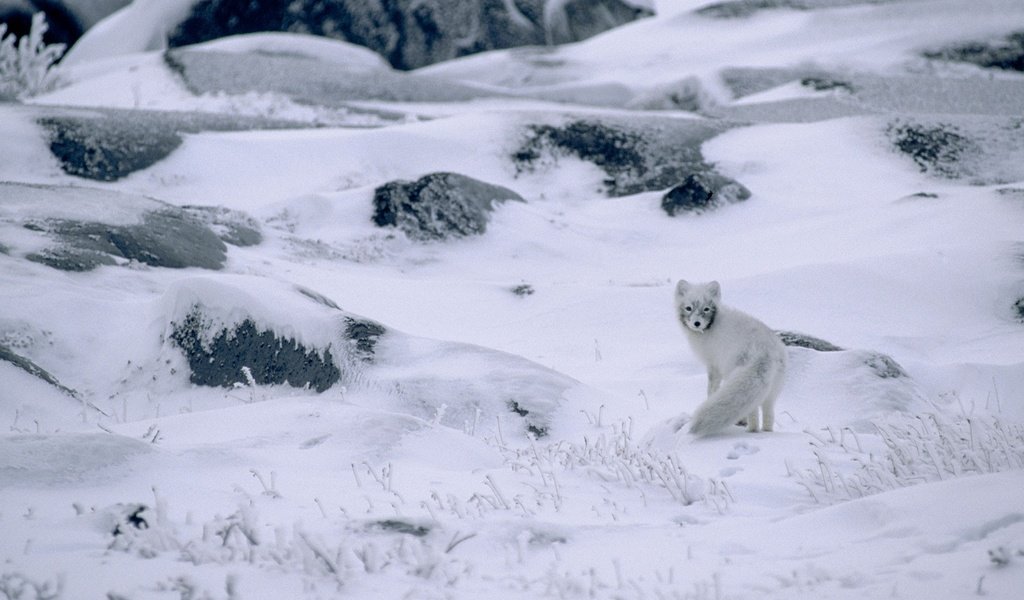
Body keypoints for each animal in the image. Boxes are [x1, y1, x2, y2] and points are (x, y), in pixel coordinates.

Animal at [675, 280, 786, 434]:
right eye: (688, 308)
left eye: (706, 309)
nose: (697, 323)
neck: (711, 326)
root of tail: (766, 351)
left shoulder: (713, 366)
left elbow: (711, 389)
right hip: (771, 391)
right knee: (768, 414)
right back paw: (766, 432)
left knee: (753, 413)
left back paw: (750, 430)